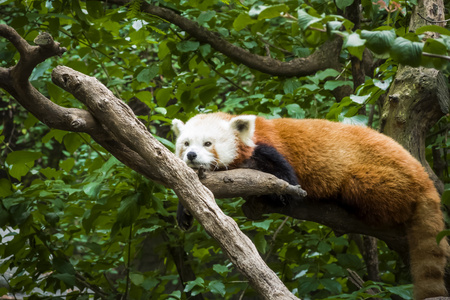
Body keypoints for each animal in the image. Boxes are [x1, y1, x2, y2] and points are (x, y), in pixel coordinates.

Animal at [171, 111, 446, 298]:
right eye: (186, 144)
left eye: (208, 144)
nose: (191, 155)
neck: (254, 135)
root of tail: (423, 177)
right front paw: (184, 210)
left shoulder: (272, 152)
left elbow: (285, 188)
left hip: (383, 179)